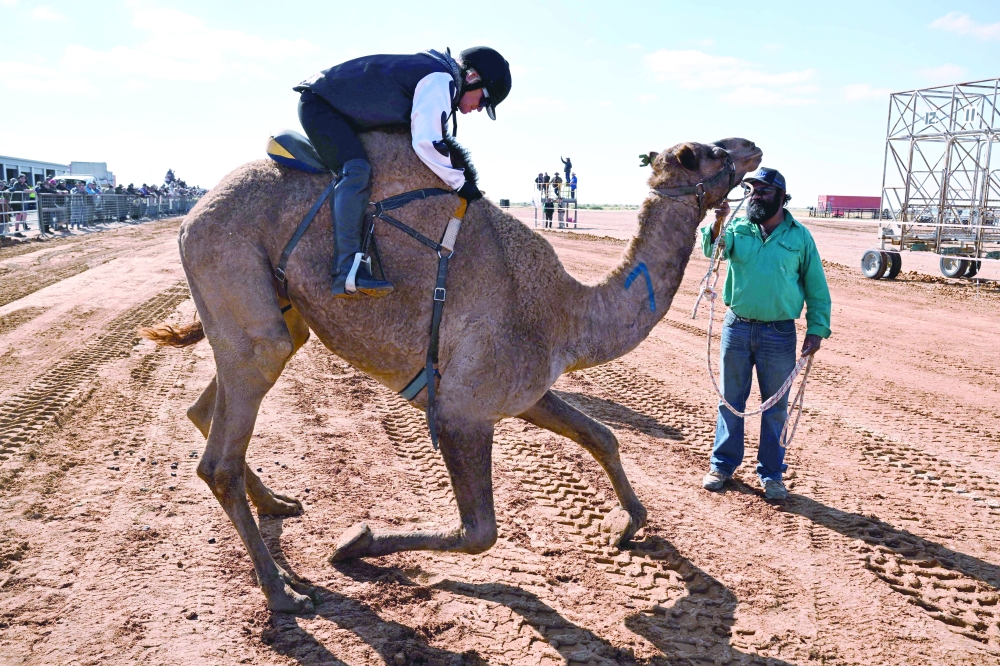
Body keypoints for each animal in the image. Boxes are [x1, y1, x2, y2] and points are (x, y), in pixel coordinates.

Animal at [142, 129, 762, 613]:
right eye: (705, 153)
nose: (753, 148)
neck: (567, 314)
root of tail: (193, 214)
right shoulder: (463, 411)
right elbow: (479, 532)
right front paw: (355, 541)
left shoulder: (523, 393)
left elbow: (602, 435)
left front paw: (627, 524)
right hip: (233, 270)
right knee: (220, 455)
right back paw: (283, 593)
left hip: (278, 308)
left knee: (209, 407)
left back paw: (277, 505)